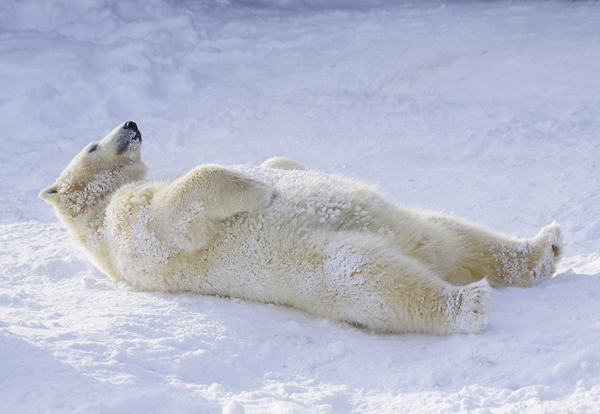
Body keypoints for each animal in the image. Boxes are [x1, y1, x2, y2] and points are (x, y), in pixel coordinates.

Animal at [41, 121, 564, 334]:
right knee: (370, 277)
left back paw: (545, 248)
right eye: (92, 145)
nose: (130, 123)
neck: (95, 217)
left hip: (411, 224)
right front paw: (256, 190)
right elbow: (169, 222)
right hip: (318, 263)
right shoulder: (125, 229)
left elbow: (279, 160)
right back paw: (467, 303)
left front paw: (270, 172)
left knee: (454, 234)